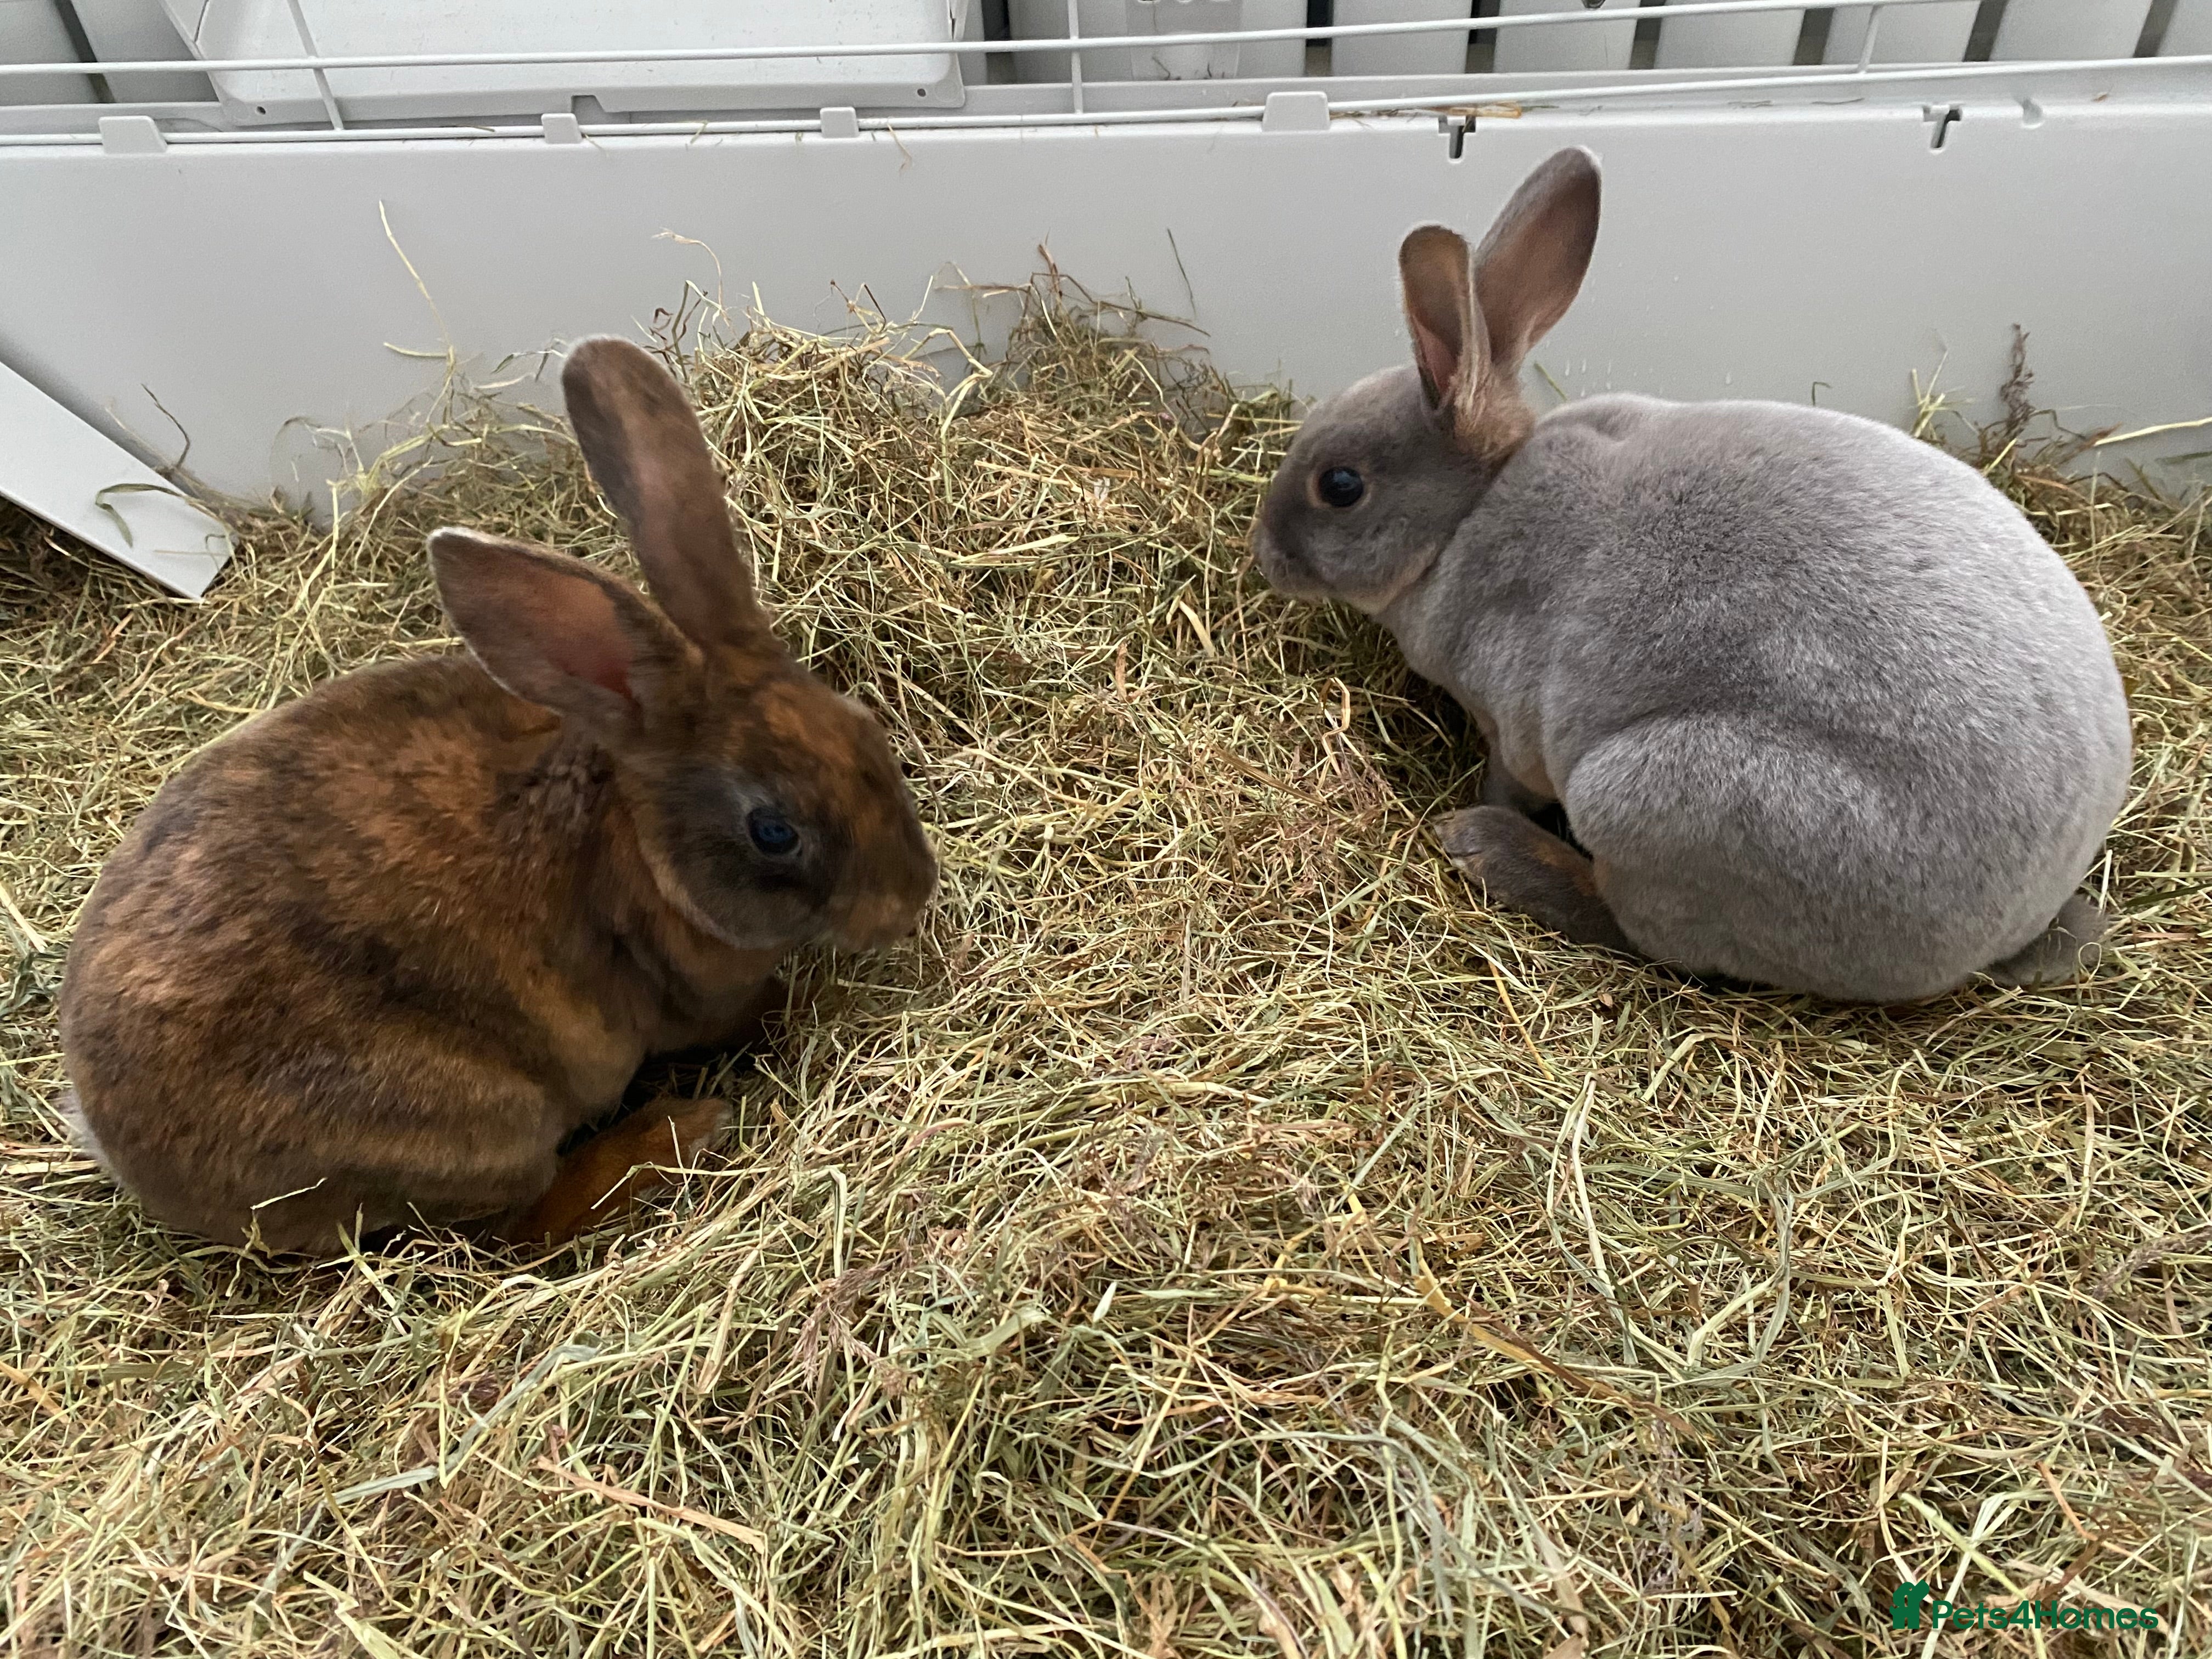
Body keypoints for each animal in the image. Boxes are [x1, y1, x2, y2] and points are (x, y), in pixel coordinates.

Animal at [56, 336, 938, 1252]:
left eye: (864, 727)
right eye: (772, 830)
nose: (912, 898)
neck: (641, 843)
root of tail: (128, 1154)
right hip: (477, 1127)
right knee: (522, 1227)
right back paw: (677, 1133)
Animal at [1250, 147, 2130, 1004]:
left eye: (1340, 486)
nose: (1264, 554)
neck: (1470, 513)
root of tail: (2017, 922)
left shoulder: (1512, 723)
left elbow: (1510, 774)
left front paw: (1482, 812)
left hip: (1655, 799)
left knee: (1644, 935)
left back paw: (1487, 848)